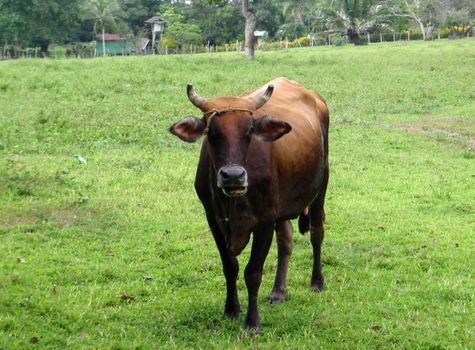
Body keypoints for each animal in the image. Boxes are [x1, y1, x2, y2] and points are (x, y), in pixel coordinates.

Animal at [171, 76, 330, 330]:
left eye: (249, 131)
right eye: (211, 132)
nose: (233, 176)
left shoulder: (264, 220)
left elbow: (253, 272)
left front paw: (252, 322)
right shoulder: (213, 219)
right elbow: (230, 266)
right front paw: (231, 310)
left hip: (320, 186)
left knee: (317, 232)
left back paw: (317, 281)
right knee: (285, 240)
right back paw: (278, 291)